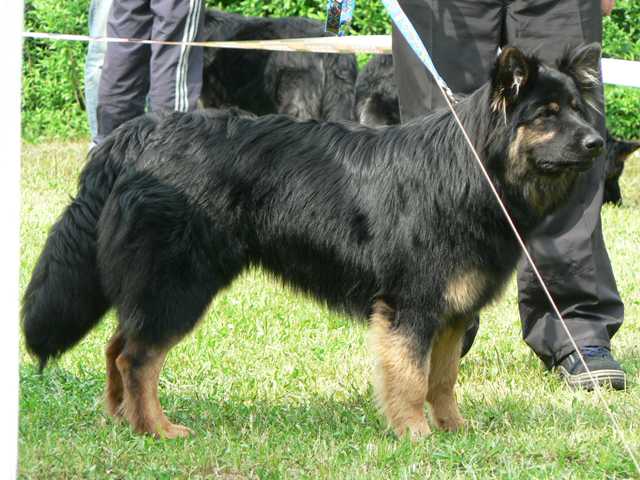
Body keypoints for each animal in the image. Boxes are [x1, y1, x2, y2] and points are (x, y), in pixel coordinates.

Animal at [23, 44, 604, 440]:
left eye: (578, 109)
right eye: (547, 115)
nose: (599, 142)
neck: (473, 170)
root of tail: (137, 134)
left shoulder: (452, 313)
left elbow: (442, 380)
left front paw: (453, 430)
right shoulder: (410, 308)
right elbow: (411, 378)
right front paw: (414, 433)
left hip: (157, 284)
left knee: (117, 345)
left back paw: (123, 421)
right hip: (179, 283)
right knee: (137, 358)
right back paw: (157, 429)